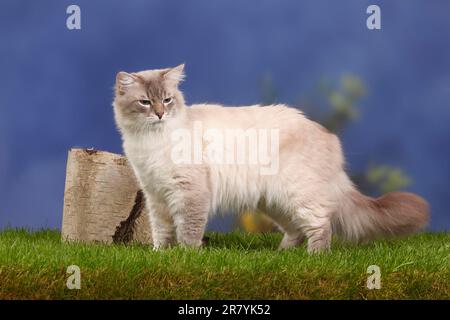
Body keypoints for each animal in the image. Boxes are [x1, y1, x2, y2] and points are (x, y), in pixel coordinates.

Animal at [112, 63, 428, 252]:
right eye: (145, 102)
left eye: (166, 100)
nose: (160, 114)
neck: (151, 141)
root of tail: (328, 134)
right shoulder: (155, 195)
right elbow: (162, 232)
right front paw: (161, 255)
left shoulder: (188, 193)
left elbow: (188, 232)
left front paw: (186, 257)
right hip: (273, 201)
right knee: (296, 230)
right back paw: (281, 255)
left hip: (296, 194)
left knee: (321, 225)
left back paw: (314, 258)